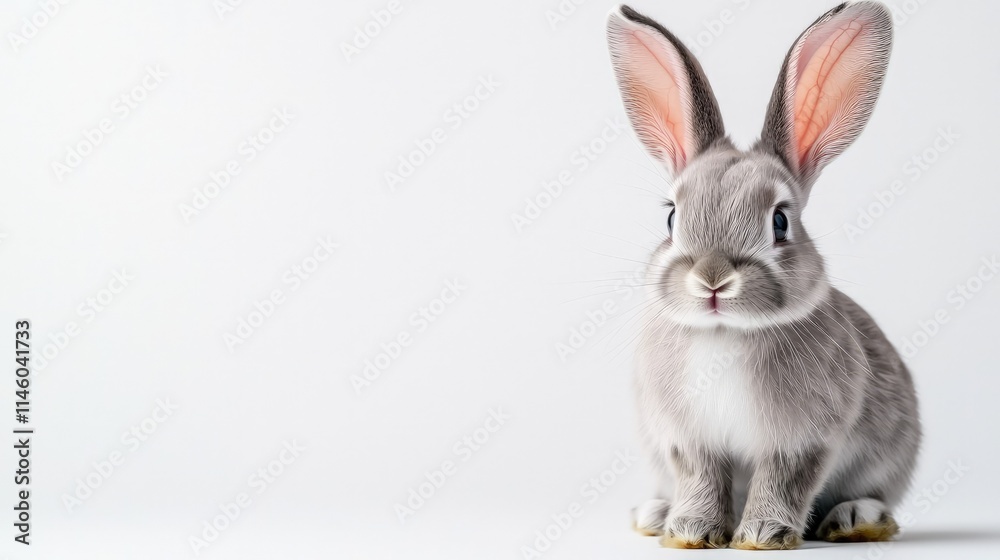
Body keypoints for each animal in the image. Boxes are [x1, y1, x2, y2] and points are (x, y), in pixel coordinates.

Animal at [605, 1, 921, 550]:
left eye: (780, 221)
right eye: (671, 217)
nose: (711, 280)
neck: (723, 334)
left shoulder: (802, 439)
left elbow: (783, 480)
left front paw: (761, 536)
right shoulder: (689, 440)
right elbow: (700, 478)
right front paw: (689, 532)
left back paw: (856, 519)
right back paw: (655, 514)